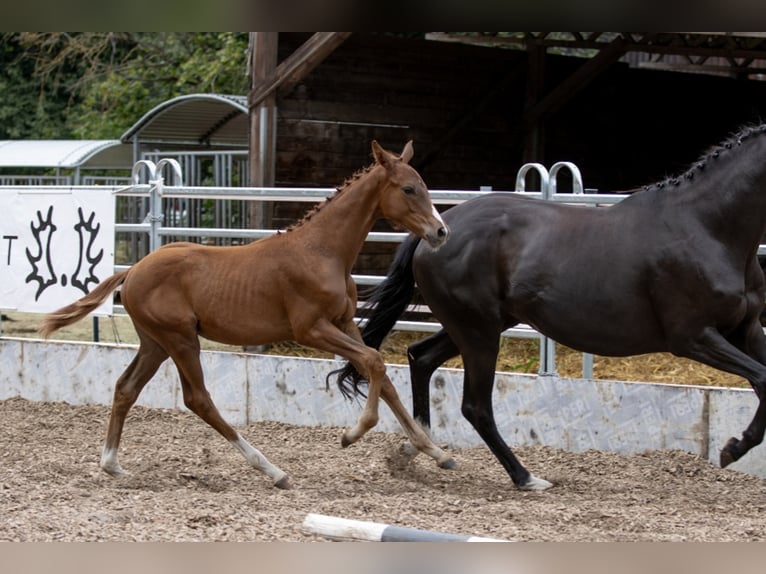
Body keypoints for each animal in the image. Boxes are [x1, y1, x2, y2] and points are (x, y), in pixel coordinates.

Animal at [39, 143, 452, 490]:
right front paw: (352, 434)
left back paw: (111, 463)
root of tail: (133, 270)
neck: (321, 251)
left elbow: (381, 374)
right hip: (180, 339)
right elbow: (373, 362)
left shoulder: (344, 323)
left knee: (127, 388)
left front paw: (437, 453)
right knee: (198, 399)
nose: (440, 231)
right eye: (408, 189)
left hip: (155, 342)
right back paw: (273, 470)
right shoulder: (310, 330)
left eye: (423, 186)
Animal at [336, 125, 766, 490]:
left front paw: (735, 447)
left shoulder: (745, 329)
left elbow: (762, 379)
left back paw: (417, 447)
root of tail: (435, 232)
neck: (707, 228)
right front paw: (732, 449)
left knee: (420, 357)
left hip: (477, 326)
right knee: (475, 406)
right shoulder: (693, 337)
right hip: (478, 332)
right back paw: (525, 477)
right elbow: (763, 380)